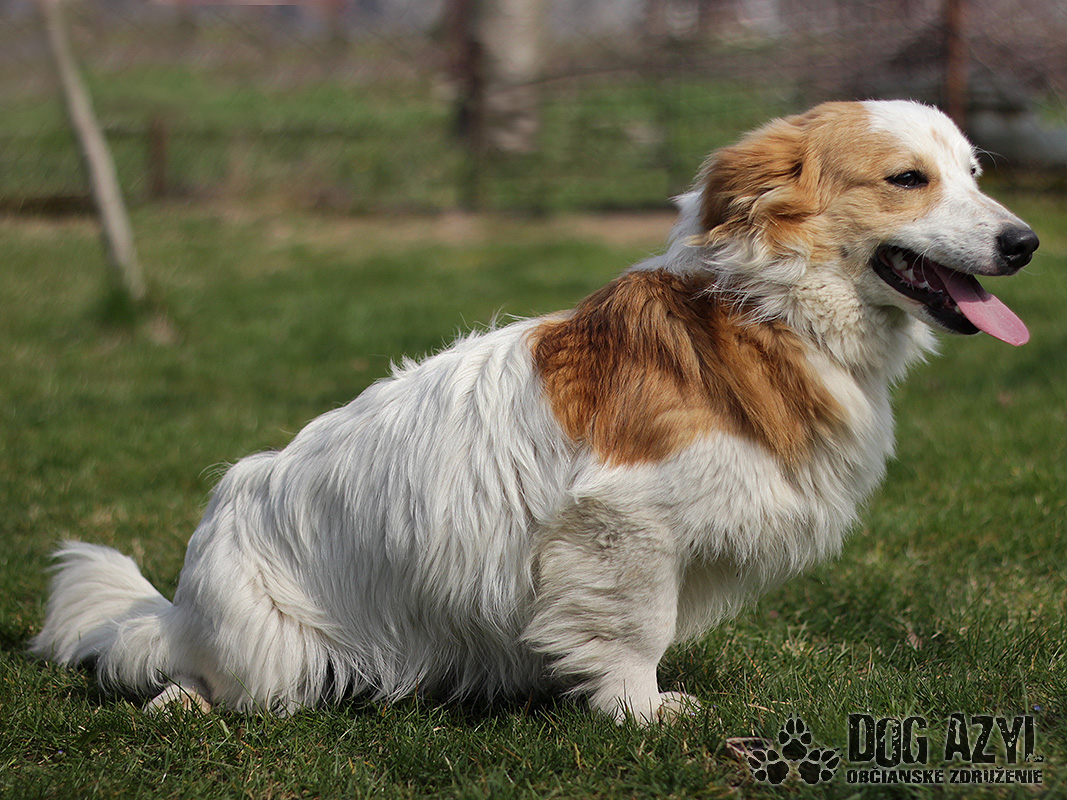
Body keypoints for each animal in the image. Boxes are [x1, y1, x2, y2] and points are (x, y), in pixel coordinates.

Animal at [32, 100, 1037, 723]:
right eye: (907, 178)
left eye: (973, 172)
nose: (1025, 242)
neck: (764, 310)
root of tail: (180, 605)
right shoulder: (620, 523)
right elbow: (636, 629)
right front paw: (639, 713)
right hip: (268, 660)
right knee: (197, 684)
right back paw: (181, 699)